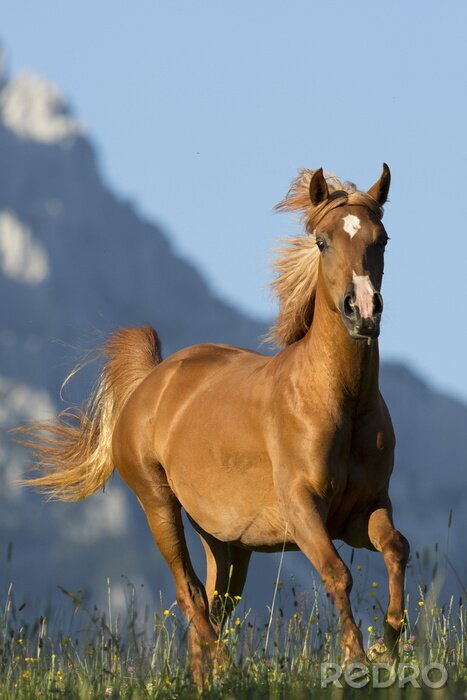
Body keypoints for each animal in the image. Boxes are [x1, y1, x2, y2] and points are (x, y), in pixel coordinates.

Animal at [17, 165, 409, 688]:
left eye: (381, 238)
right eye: (323, 241)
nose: (362, 311)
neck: (338, 402)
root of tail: (152, 380)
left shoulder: (364, 510)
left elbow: (397, 549)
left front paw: (389, 646)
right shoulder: (304, 509)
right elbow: (336, 573)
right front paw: (357, 661)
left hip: (226, 541)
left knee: (212, 605)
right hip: (159, 504)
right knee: (190, 596)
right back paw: (230, 671)